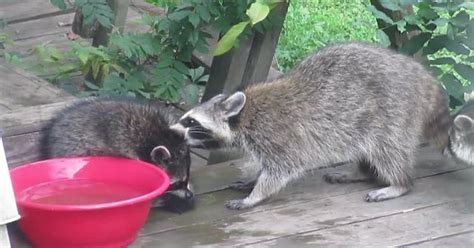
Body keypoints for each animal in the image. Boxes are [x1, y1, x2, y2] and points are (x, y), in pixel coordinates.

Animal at [171, 42, 452, 209]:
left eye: (190, 121)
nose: (170, 131)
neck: (245, 114)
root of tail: (419, 74)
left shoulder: (276, 133)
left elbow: (281, 169)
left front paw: (255, 194)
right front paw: (253, 180)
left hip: (392, 113)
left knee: (388, 151)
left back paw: (399, 183)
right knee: (368, 150)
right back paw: (361, 172)